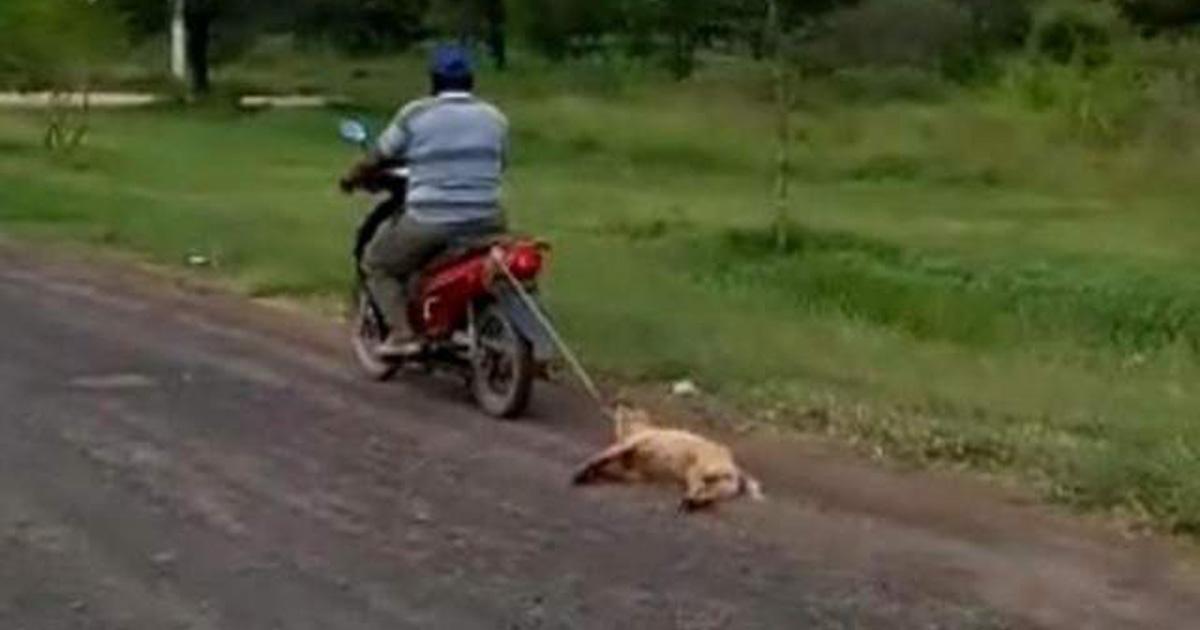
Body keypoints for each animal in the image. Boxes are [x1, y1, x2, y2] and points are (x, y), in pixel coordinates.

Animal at [573, 403, 763, 511]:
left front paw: (584, 471)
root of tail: (734, 465)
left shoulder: (631, 444)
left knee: (700, 487)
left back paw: (690, 501)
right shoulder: (635, 473)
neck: (639, 427)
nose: (620, 406)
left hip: (697, 469)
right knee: (709, 494)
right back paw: (694, 502)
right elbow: (610, 465)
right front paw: (590, 473)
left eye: (630, 414)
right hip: (715, 482)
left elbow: (602, 456)